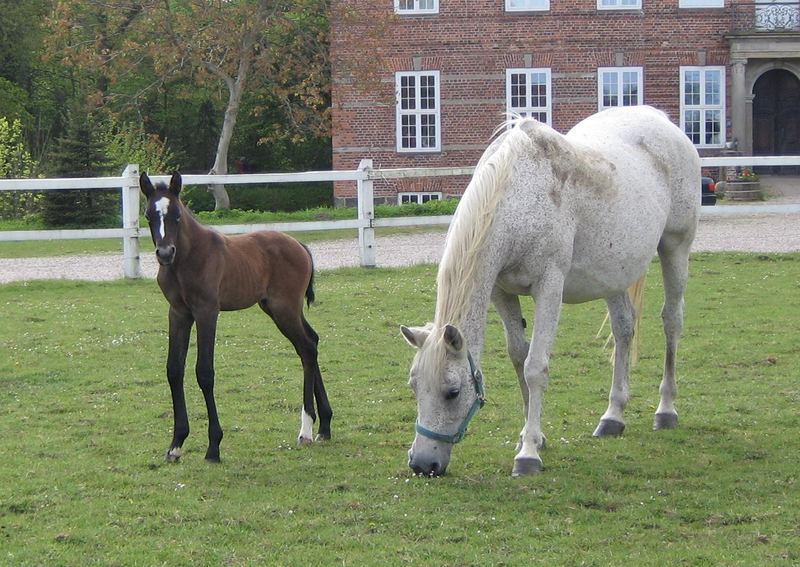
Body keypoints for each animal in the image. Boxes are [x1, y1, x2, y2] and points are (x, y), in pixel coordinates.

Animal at [141, 172, 332, 462]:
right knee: (311, 341)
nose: (165, 253)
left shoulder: (207, 312)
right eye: (149, 215)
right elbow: (174, 370)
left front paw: (213, 446)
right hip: (277, 308)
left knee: (307, 348)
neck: (188, 257)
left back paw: (306, 430)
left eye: (176, 215)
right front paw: (175, 445)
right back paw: (325, 426)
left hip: (284, 308)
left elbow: (204, 372)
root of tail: (299, 244)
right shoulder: (179, 313)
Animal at [400, 105, 700, 474]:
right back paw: (613, 416)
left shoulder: (549, 287)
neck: (517, 197)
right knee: (624, 330)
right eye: (414, 386)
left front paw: (528, 454)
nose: (422, 463)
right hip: (613, 274)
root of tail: (660, 119)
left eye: (452, 392)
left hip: (675, 248)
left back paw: (666, 409)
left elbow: (535, 367)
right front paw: (533, 437)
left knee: (672, 321)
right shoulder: (500, 291)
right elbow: (519, 356)